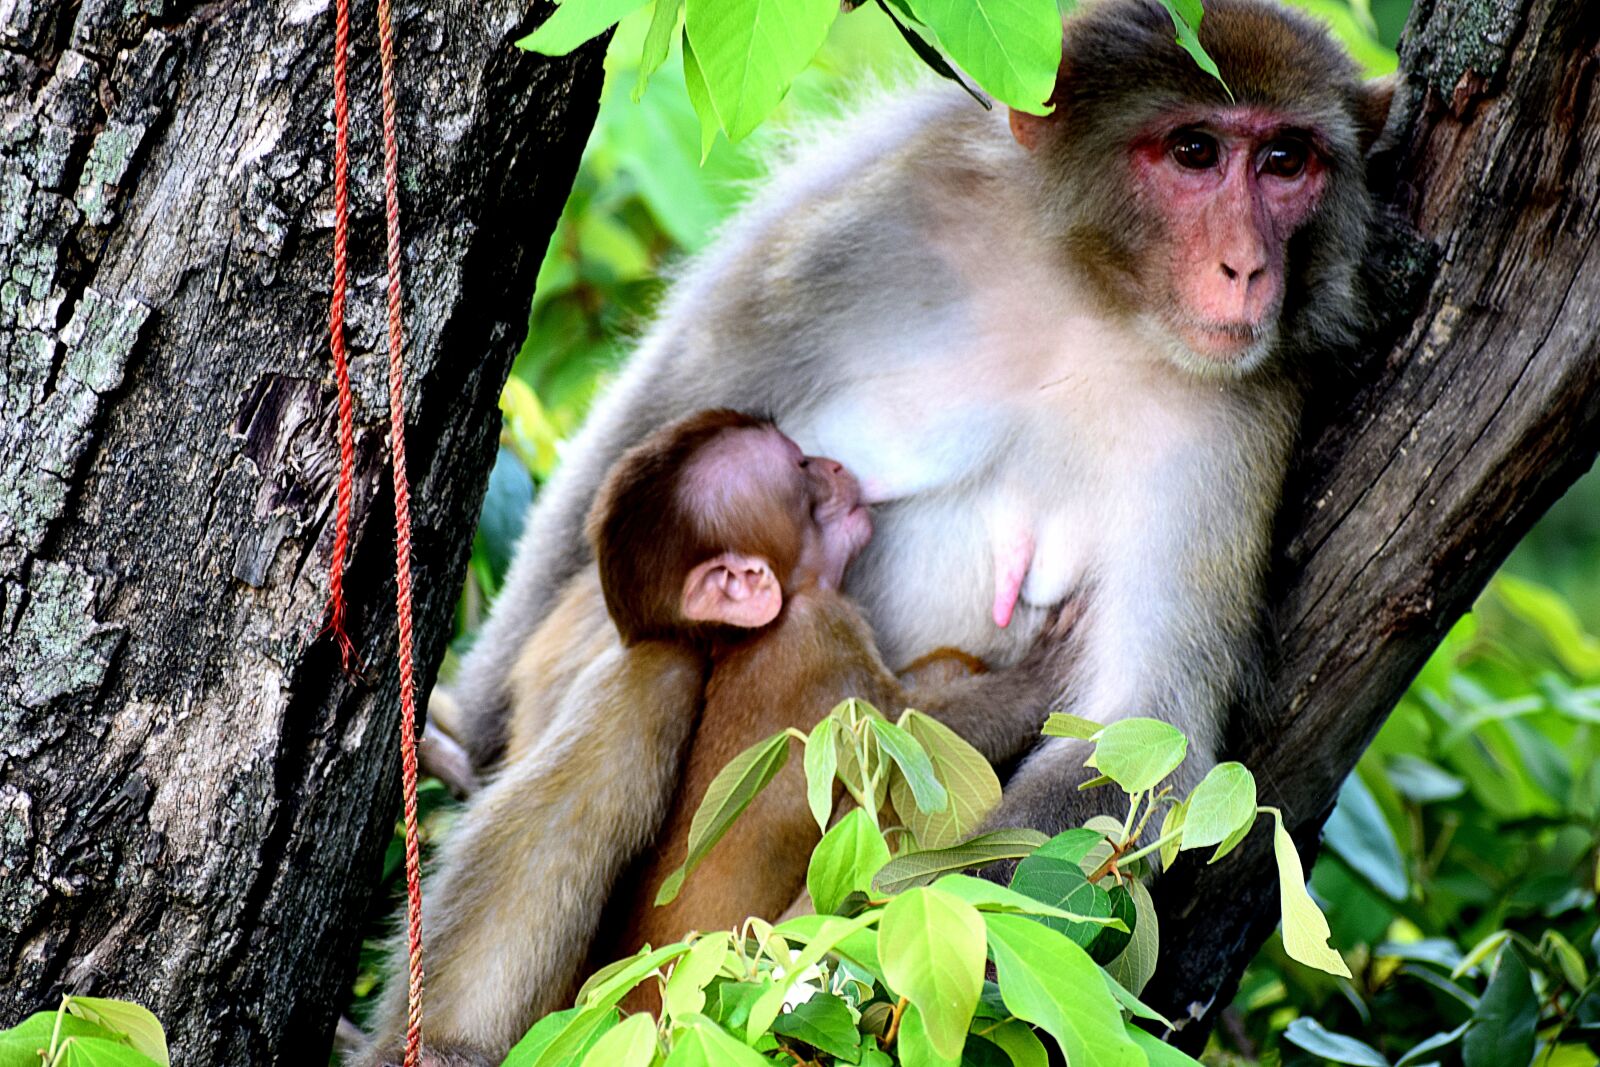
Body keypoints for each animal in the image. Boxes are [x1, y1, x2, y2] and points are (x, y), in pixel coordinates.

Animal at [361, 411, 1068, 1065]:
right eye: (800, 471)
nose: (836, 465)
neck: (757, 632)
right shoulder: (824, 634)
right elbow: (917, 741)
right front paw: (1044, 671)